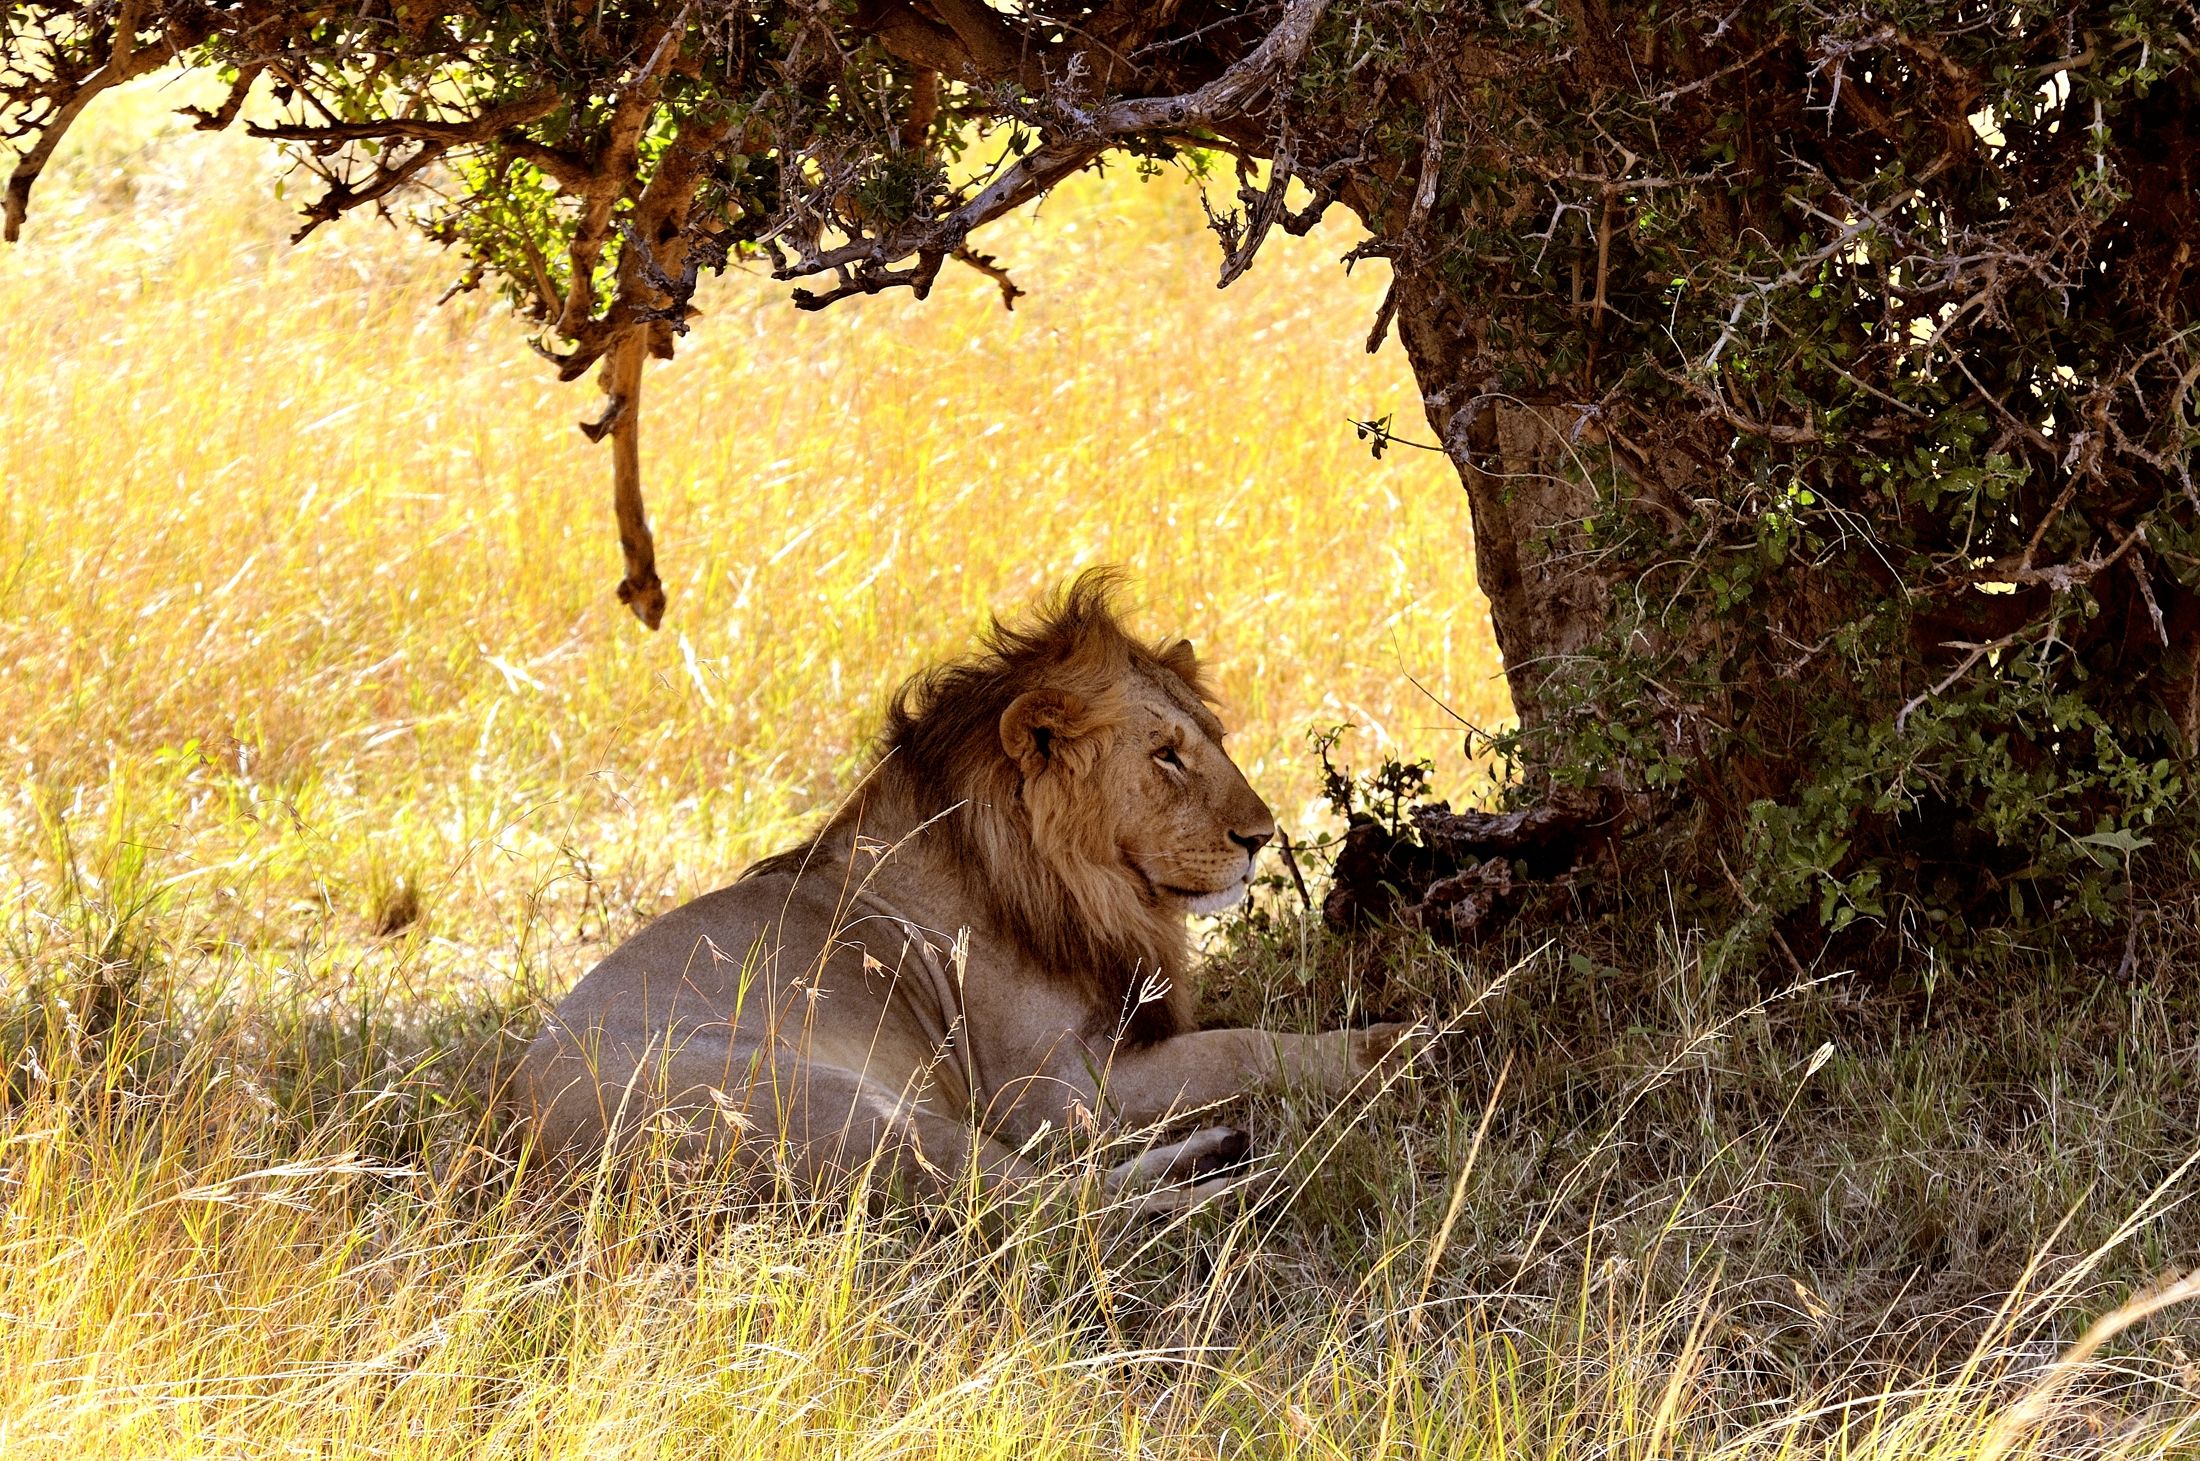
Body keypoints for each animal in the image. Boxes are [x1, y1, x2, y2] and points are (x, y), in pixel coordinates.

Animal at [515, 571, 1413, 1211]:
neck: (1069, 881)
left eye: (1216, 739)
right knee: (1034, 1206)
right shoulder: (1050, 1094)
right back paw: (1237, 1184)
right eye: (1165, 753)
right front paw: (1391, 1044)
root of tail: (533, 1149)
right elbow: (1238, 1045)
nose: (1262, 836)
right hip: (847, 1107)